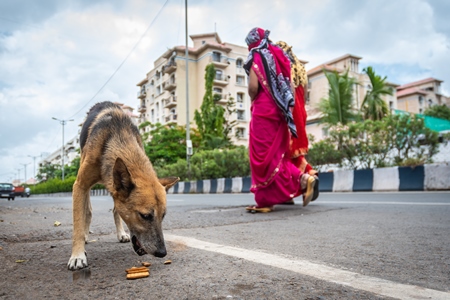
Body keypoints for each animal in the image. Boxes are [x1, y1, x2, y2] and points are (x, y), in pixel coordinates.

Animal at [67, 102, 179, 270]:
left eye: (163, 215)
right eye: (145, 216)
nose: (162, 253)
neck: (118, 137)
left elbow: (115, 211)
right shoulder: (80, 185)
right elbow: (78, 223)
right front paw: (77, 255)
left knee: (114, 210)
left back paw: (121, 233)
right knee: (87, 210)